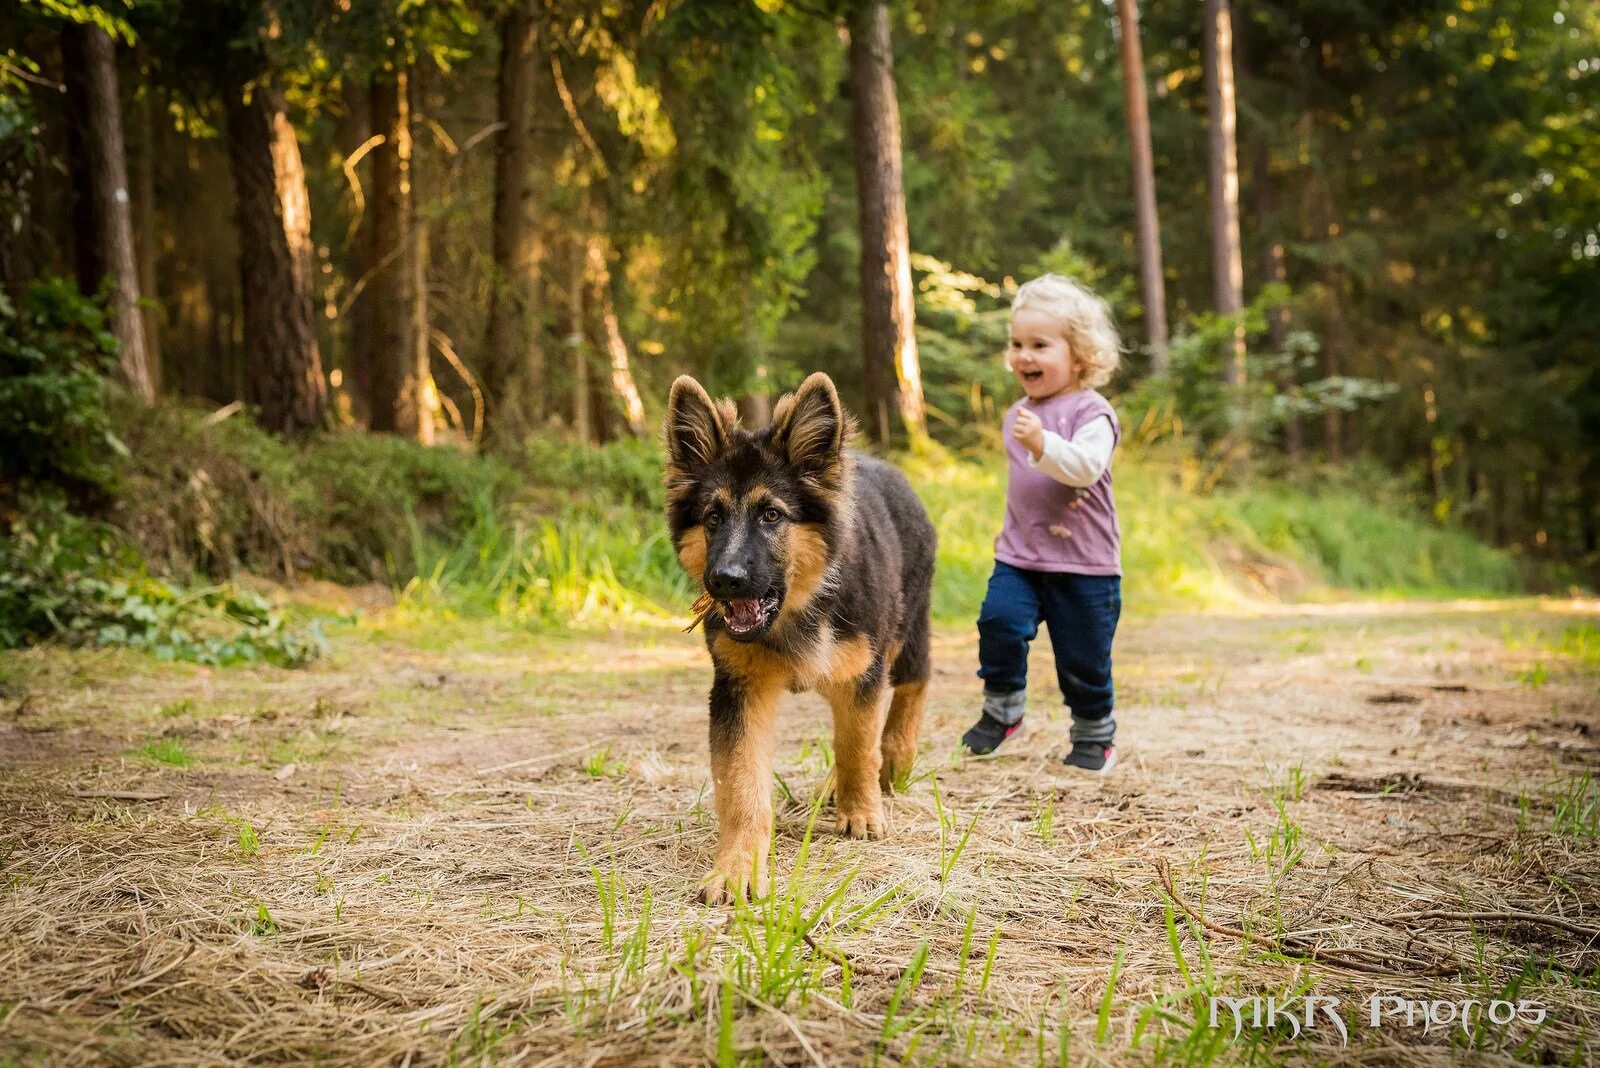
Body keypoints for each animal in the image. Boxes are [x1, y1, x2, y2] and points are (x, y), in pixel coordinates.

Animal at [662, 374, 934, 901]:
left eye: (771, 515)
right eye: (712, 517)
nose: (723, 580)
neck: (794, 610)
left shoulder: (862, 673)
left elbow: (856, 745)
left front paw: (860, 811)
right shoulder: (738, 691)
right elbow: (742, 784)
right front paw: (738, 866)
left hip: (907, 630)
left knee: (914, 686)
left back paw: (895, 758)